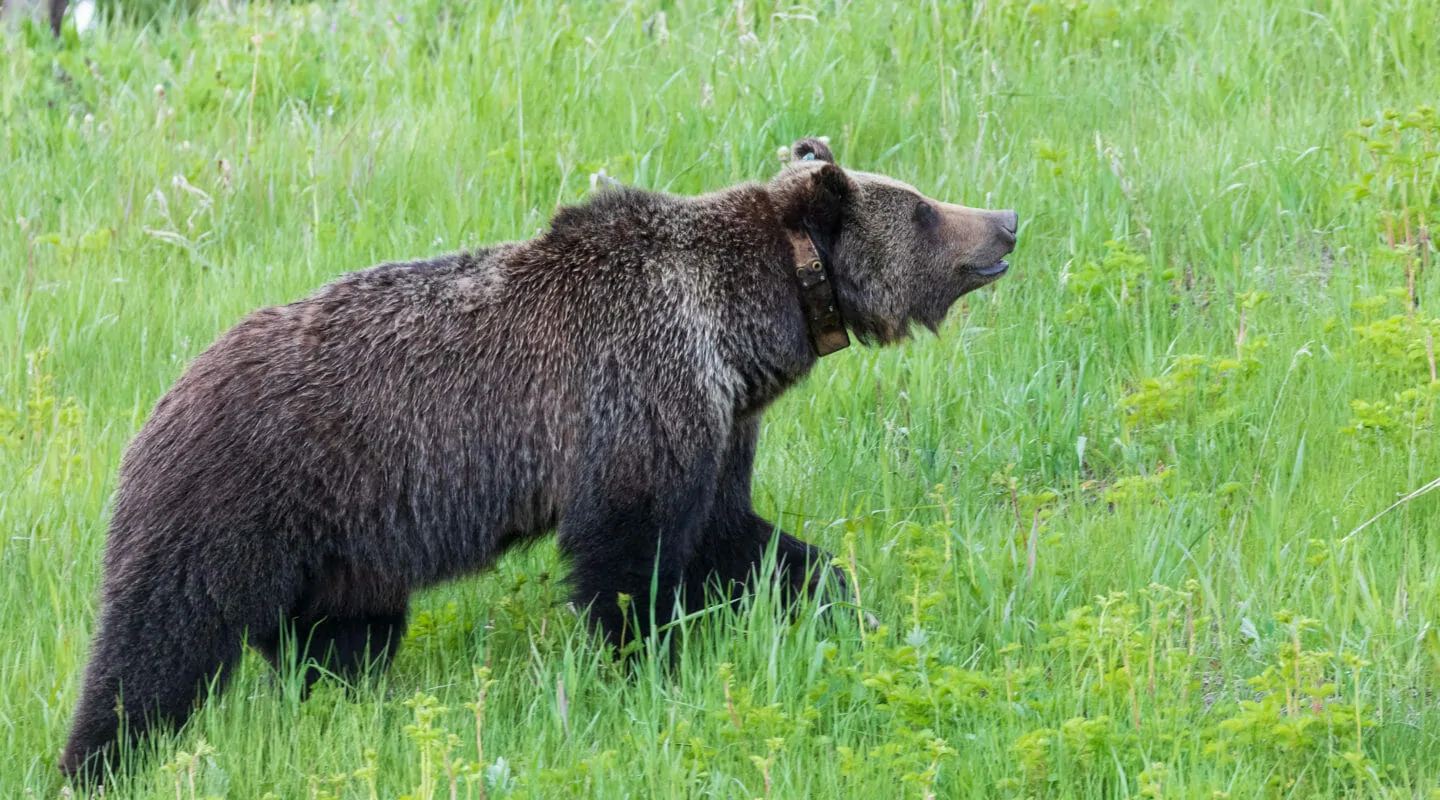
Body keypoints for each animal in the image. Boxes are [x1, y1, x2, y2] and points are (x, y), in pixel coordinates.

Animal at [61, 137, 1019, 782]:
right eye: (922, 207)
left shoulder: (715, 424)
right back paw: (98, 758)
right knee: (159, 639)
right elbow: (627, 560)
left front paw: (834, 598)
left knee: (337, 640)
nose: (1007, 222)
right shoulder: (632, 400)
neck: (742, 330)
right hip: (239, 500)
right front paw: (641, 665)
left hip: (341, 551)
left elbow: (734, 536)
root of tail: (154, 404)